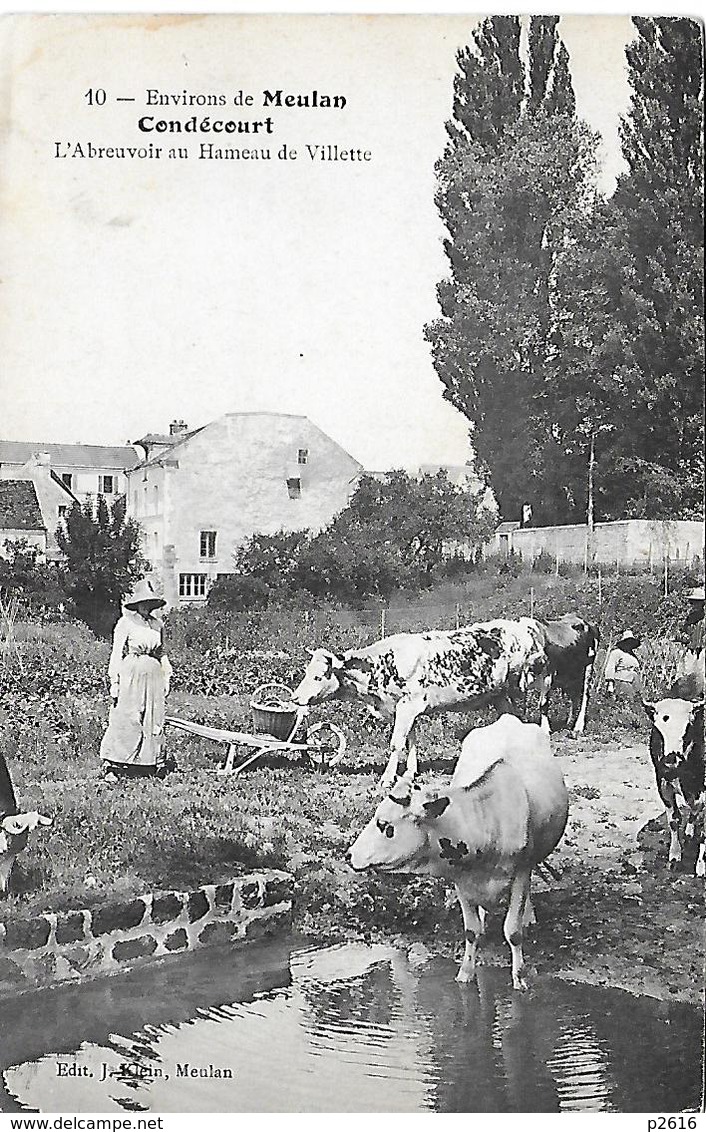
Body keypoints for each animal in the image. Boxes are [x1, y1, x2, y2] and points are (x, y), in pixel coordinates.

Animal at [291, 615, 545, 792]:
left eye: (318, 676)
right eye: (307, 672)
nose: (295, 698)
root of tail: (519, 625)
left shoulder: (408, 705)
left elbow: (396, 743)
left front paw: (387, 779)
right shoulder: (405, 709)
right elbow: (411, 739)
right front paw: (410, 773)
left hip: (520, 685)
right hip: (500, 695)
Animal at [348, 715, 567, 991]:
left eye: (384, 825)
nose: (350, 854)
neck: (489, 818)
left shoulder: (521, 871)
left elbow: (513, 931)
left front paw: (520, 978)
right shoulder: (461, 879)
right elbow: (472, 931)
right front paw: (465, 974)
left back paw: (529, 914)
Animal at [642, 670, 701, 873]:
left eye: (688, 727)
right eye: (658, 729)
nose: (671, 761)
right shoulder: (663, 784)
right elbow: (674, 819)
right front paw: (675, 856)